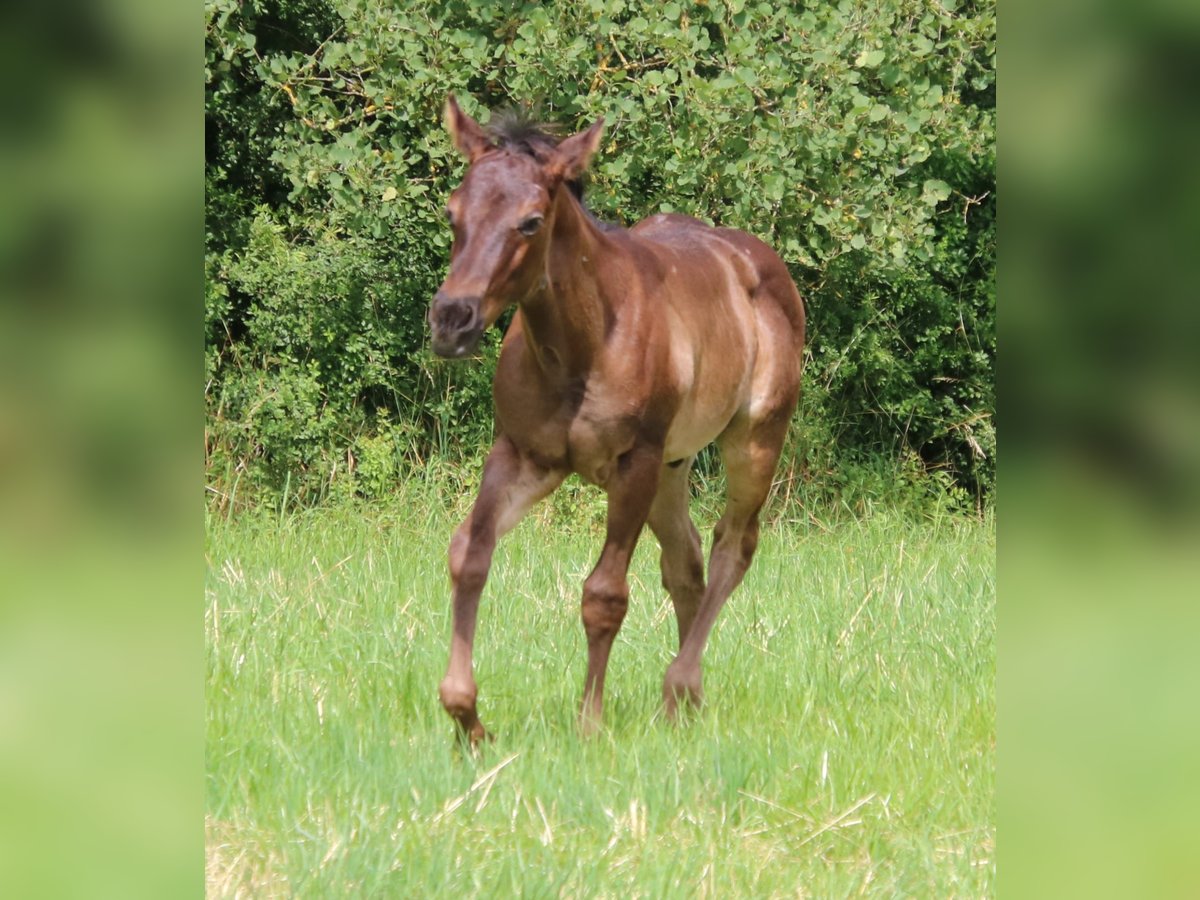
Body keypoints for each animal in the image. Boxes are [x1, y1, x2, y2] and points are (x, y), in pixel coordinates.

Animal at [427, 95, 801, 744]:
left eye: (530, 221)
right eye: (453, 212)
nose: (453, 319)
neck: (582, 344)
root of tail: (763, 262)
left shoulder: (634, 460)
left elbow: (605, 594)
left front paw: (589, 722)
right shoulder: (523, 454)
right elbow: (469, 554)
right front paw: (467, 716)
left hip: (753, 439)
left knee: (733, 547)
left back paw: (681, 684)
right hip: (674, 465)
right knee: (686, 561)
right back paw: (683, 709)